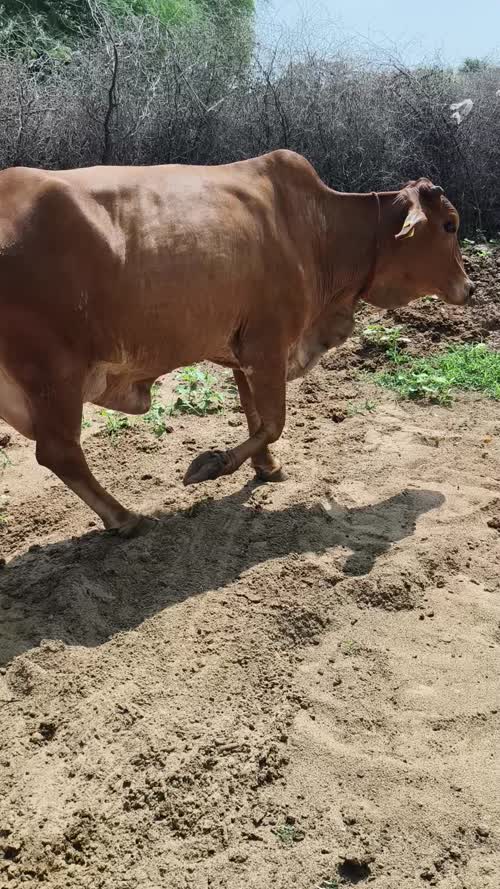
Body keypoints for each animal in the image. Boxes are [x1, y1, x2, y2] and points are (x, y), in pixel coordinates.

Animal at [0, 150, 474, 536]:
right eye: (449, 225)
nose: (469, 288)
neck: (319, 233)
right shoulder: (268, 345)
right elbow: (273, 421)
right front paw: (211, 465)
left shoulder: (243, 351)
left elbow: (254, 415)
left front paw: (268, 468)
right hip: (53, 373)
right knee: (60, 452)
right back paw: (124, 517)